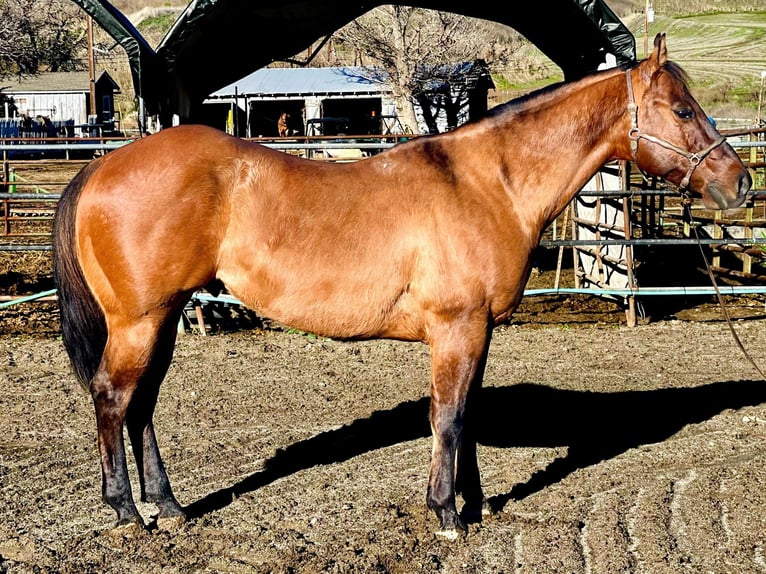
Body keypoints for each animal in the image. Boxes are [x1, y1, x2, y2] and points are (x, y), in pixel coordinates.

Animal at [54, 35, 756, 540]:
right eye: (683, 109)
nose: (740, 184)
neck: (488, 182)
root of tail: (102, 166)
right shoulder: (456, 328)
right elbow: (448, 416)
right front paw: (445, 514)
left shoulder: (477, 331)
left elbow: (468, 415)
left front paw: (474, 504)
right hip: (141, 320)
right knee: (114, 398)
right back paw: (127, 512)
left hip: (163, 318)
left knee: (142, 404)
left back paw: (169, 507)